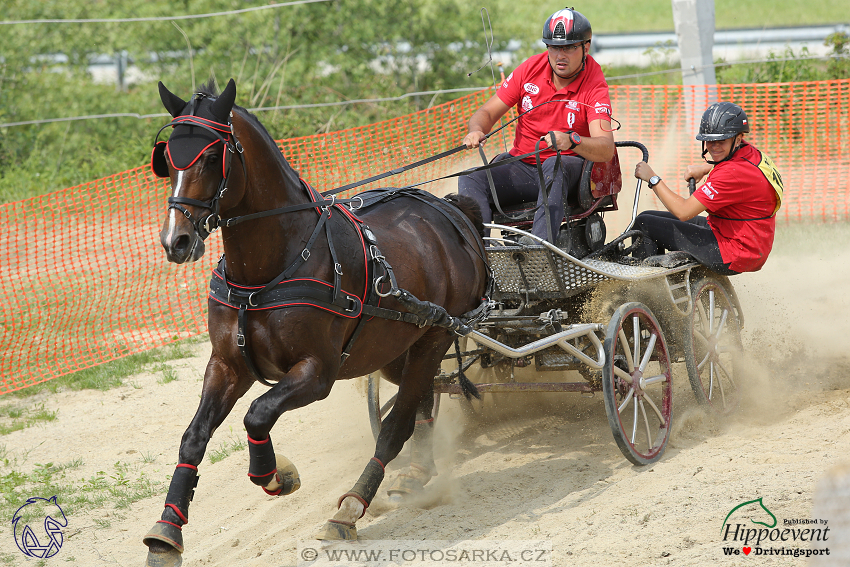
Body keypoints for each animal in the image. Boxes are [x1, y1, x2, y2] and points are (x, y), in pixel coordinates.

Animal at [142, 80, 486, 567]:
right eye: (167, 158)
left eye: (211, 158)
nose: (177, 241)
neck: (270, 269)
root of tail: (450, 212)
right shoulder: (227, 365)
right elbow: (194, 437)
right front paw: (166, 532)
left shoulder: (316, 373)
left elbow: (257, 415)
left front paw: (276, 476)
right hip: (397, 350)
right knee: (422, 397)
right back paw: (416, 471)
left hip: (434, 337)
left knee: (395, 428)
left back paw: (350, 509)